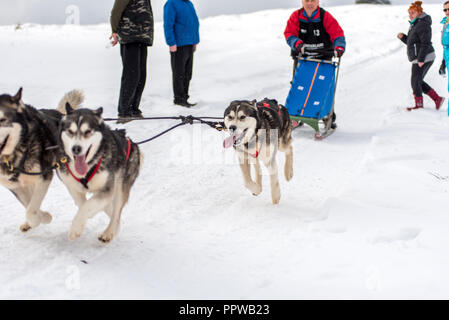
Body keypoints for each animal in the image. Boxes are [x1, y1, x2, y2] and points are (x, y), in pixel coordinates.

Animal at [0, 88, 83, 232]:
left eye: (2, 119)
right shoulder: (14, 186)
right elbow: (28, 204)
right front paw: (39, 217)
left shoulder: (43, 177)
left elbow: (31, 209)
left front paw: (43, 218)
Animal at [57, 105, 140, 242]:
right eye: (70, 131)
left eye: (87, 132)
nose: (76, 148)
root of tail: (131, 142)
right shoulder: (71, 186)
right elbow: (84, 204)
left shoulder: (107, 188)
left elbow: (87, 206)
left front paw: (76, 228)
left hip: (121, 185)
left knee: (116, 213)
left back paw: (109, 232)